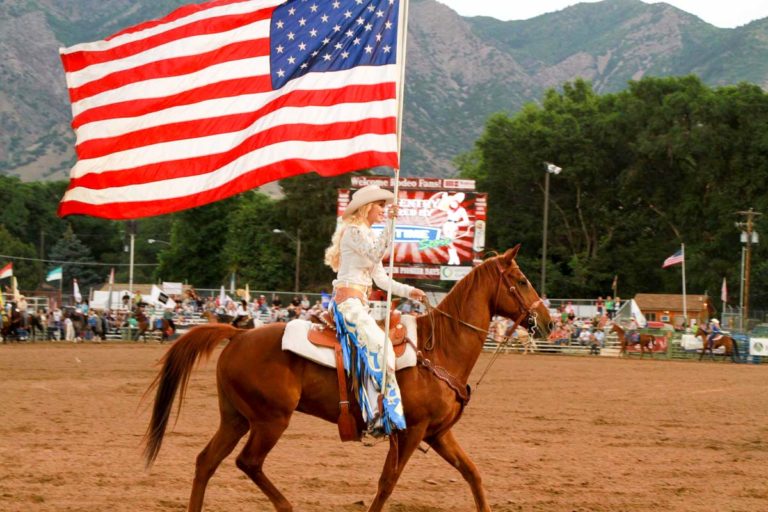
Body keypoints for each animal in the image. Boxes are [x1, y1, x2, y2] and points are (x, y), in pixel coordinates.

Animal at [142, 246, 552, 510]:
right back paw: (287, 506)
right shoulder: (411, 431)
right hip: (270, 419)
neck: (439, 349)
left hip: (236, 418)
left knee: (206, 462)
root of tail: (238, 334)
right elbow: (387, 484)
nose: (548, 322)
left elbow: (473, 475)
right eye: (521, 280)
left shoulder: (437, 433)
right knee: (248, 462)